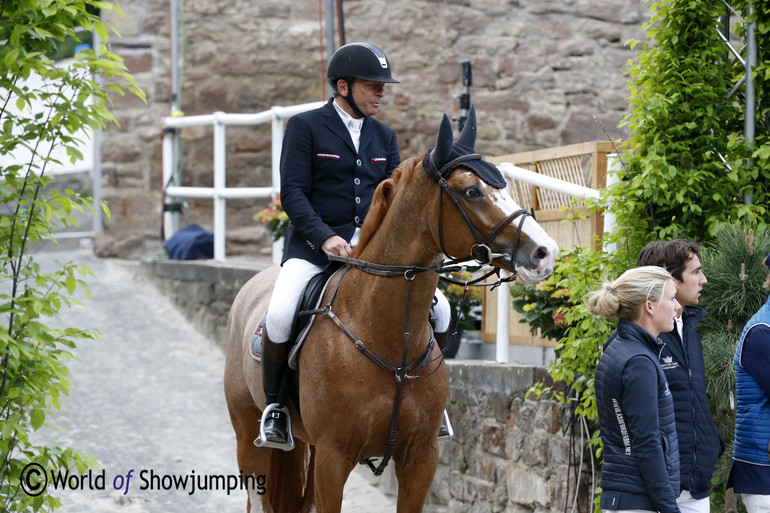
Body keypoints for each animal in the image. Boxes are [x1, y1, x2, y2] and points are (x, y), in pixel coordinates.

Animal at [225, 106, 556, 510]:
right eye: (472, 191)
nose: (546, 253)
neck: (384, 333)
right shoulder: (334, 458)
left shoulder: (421, 457)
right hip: (249, 438)